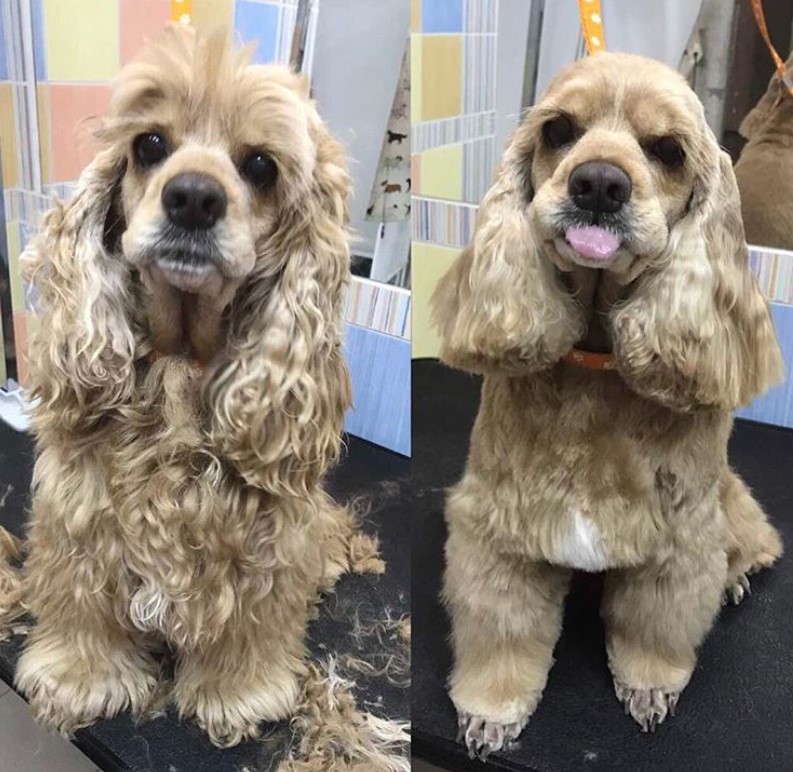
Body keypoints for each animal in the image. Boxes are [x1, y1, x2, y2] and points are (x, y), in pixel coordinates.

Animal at [7, 27, 360, 744]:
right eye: (149, 144)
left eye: (260, 166)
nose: (193, 196)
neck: (181, 361)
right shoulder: (78, 513)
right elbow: (80, 599)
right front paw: (80, 677)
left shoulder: (265, 537)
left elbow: (251, 618)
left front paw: (238, 693)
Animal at [430, 51, 784, 756]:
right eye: (558, 131)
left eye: (668, 149)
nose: (597, 183)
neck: (598, 364)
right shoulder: (500, 525)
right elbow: (504, 626)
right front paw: (492, 710)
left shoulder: (680, 533)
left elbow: (656, 621)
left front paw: (649, 685)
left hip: (729, 497)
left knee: (752, 540)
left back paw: (734, 577)